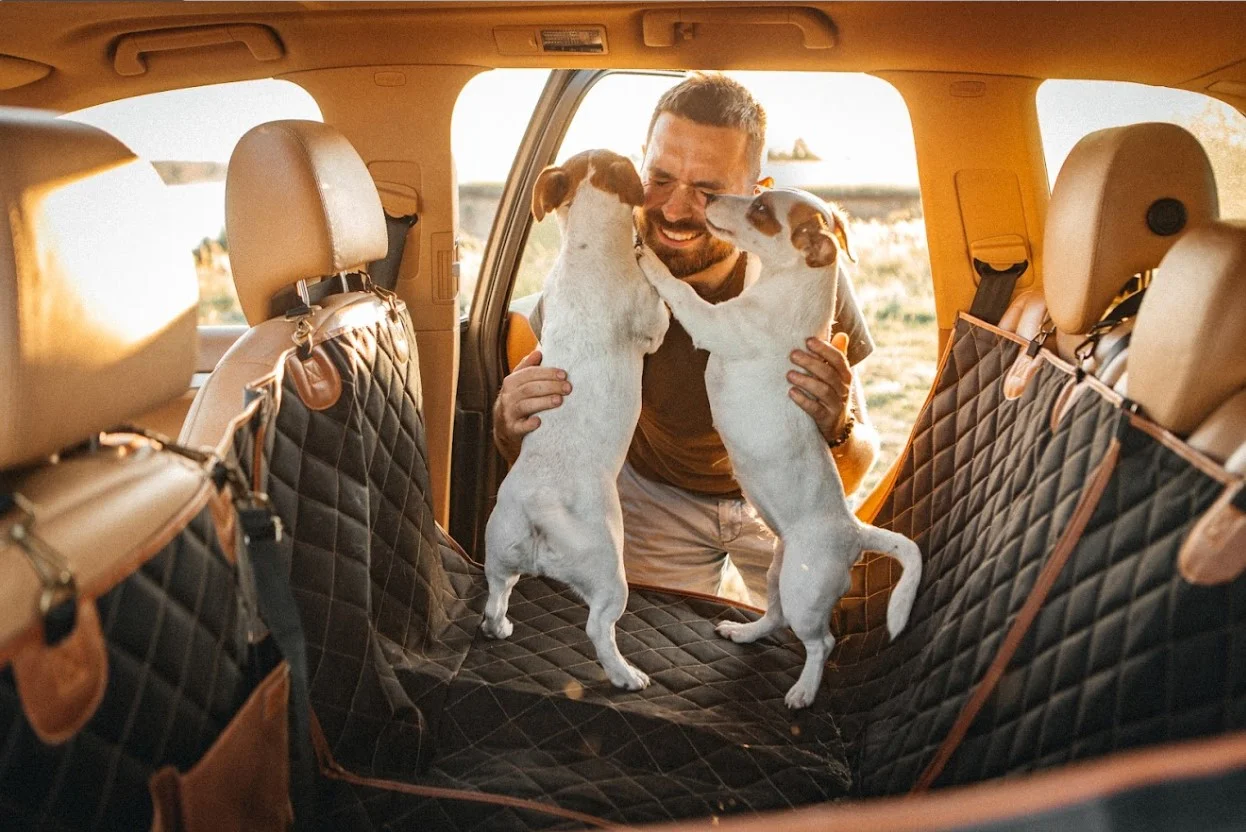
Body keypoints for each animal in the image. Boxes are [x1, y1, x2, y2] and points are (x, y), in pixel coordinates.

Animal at [478, 149, 672, 687]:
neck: (587, 245)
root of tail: (542, 507)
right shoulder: (651, 319)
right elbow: (660, 319)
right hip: (609, 577)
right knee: (598, 628)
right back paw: (626, 675)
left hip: (499, 554)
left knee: (496, 596)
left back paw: (498, 627)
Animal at [637, 188, 922, 707]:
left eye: (761, 211)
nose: (709, 195)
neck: (786, 291)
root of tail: (854, 533)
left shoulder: (713, 322)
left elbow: (679, 290)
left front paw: (648, 256)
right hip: (778, 573)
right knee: (773, 617)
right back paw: (743, 632)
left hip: (804, 591)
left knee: (819, 641)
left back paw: (804, 690)